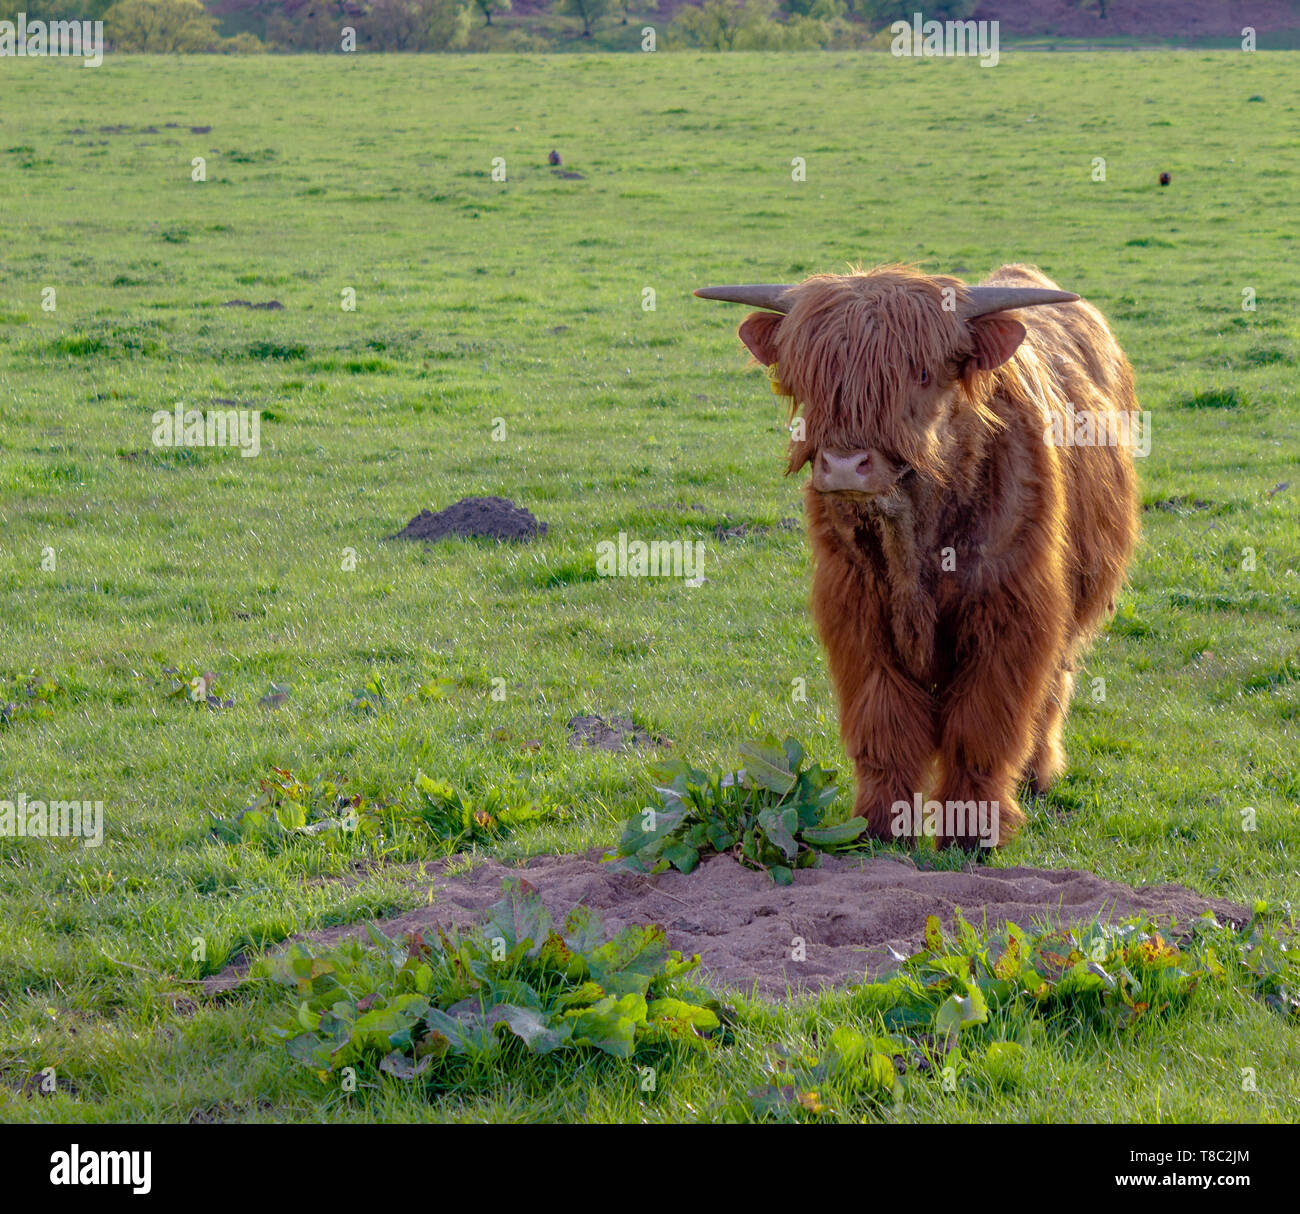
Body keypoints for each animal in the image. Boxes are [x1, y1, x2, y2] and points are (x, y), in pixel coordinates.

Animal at [696, 264, 1140, 849]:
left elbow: (982, 727)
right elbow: (884, 723)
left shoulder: (1013, 612)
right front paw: (883, 824)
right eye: (807, 376)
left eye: (923, 373)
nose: (844, 464)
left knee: (1052, 689)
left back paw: (1039, 775)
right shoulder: (857, 609)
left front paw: (973, 831)